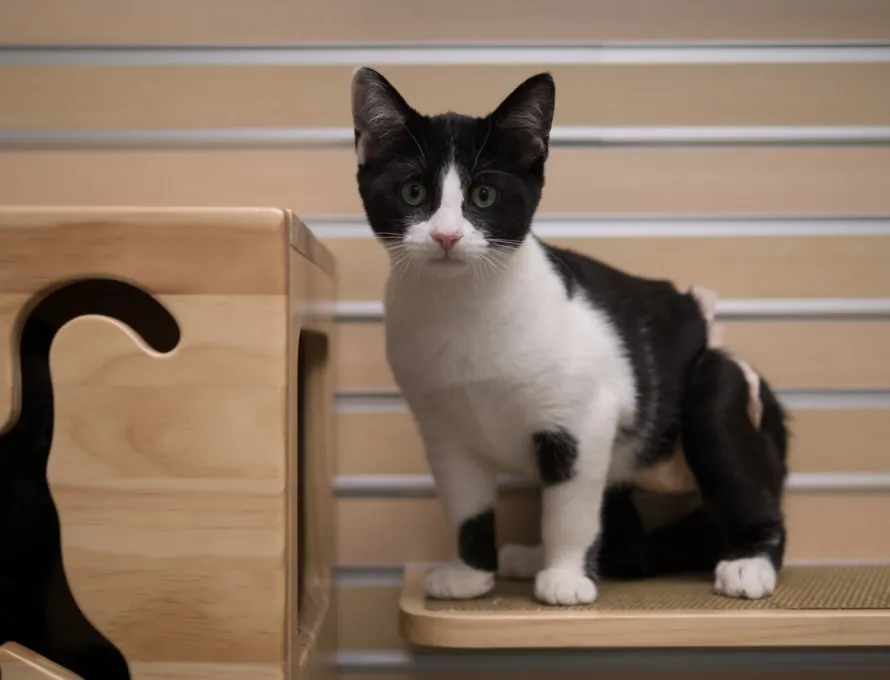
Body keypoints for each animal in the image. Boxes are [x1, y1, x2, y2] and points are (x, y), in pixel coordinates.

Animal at [350, 66, 788, 604]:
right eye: (413, 193)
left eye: (484, 196)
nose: (446, 236)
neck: (461, 310)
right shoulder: (444, 433)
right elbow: (466, 505)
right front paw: (470, 574)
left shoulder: (585, 417)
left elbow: (570, 509)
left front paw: (564, 577)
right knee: (630, 545)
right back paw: (531, 557)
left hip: (714, 385)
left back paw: (751, 559)